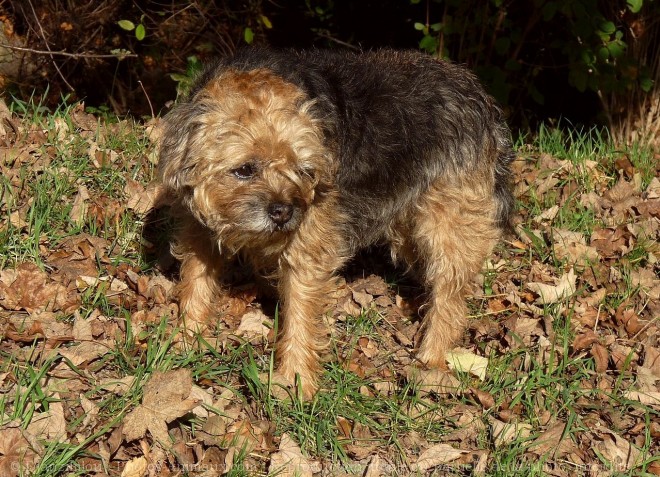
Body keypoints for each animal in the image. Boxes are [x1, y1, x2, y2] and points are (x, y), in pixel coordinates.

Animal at [157, 47, 512, 398]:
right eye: (244, 169)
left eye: (303, 169)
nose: (284, 211)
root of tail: (479, 93)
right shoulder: (197, 229)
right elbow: (196, 280)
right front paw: (185, 337)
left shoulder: (308, 248)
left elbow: (299, 313)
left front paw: (295, 379)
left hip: (448, 225)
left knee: (450, 295)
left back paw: (431, 358)